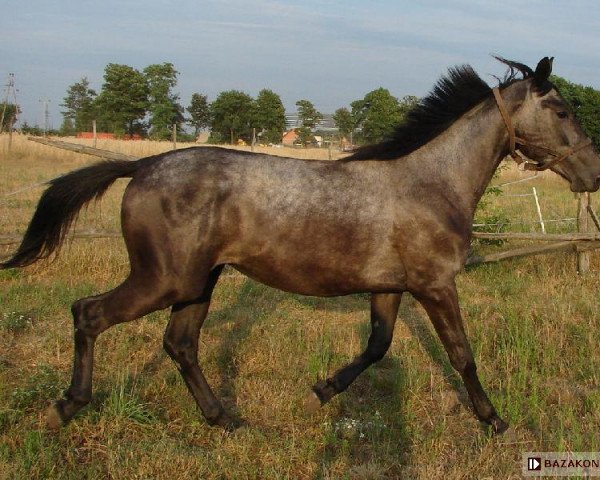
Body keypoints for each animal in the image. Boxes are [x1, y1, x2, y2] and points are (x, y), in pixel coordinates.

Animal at [2, 57, 596, 436]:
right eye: (563, 111)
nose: (593, 172)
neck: (432, 184)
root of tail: (143, 165)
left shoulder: (389, 286)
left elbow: (378, 347)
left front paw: (323, 390)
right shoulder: (435, 284)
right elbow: (462, 355)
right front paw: (495, 420)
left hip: (197, 282)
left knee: (180, 344)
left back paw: (225, 420)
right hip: (163, 279)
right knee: (89, 313)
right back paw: (66, 407)